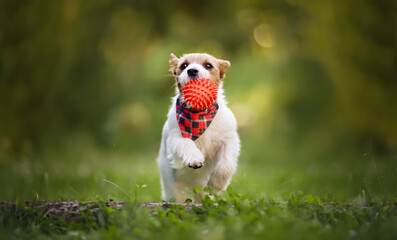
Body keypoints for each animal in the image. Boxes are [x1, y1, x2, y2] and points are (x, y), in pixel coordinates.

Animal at [157, 53, 238, 202]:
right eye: (184, 65)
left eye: (208, 65)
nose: (192, 70)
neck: (199, 115)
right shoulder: (174, 138)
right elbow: (186, 142)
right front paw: (194, 158)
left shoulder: (229, 141)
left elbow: (226, 163)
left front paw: (217, 184)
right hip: (174, 188)